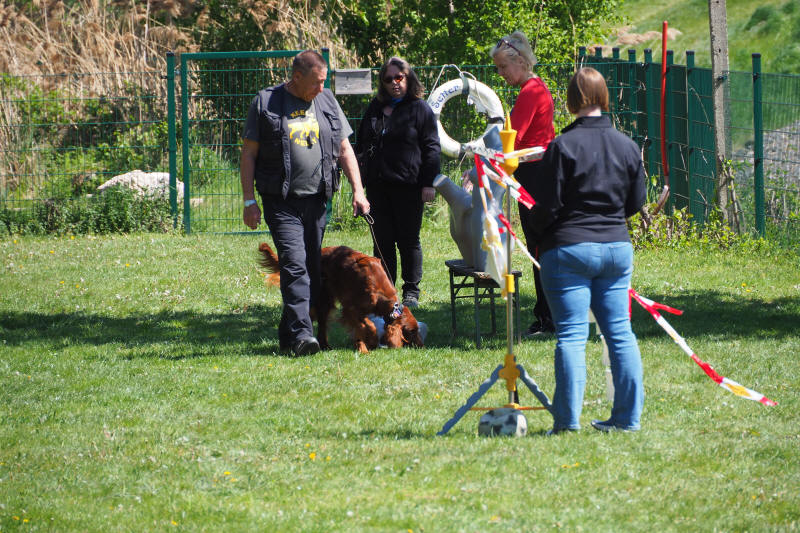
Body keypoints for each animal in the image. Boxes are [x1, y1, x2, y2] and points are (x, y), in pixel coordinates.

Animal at [258, 243, 424, 353]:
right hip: (321, 299)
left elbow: (364, 326)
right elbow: (368, 326)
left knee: (323, 325)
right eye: (412, 331)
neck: (380, 293)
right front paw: (368, 343)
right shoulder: (351, 309)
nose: (422, 346)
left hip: (325, 303)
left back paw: (325, 346)